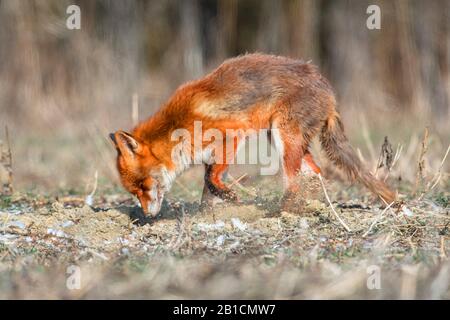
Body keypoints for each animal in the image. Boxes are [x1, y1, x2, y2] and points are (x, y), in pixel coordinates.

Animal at [110, 53, 396, 216]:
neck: (179, 125)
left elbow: (211, 179)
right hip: (281, 138)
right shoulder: (213, 154)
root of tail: (328, 90)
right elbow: (208, 188)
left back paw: (279, 213)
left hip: (283, 136)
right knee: (314, 173)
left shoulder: (230, 137)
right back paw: (312, 204)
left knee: (294, 183)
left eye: (142, 186)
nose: (147, 217)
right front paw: (206, 214)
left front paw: (230, 198)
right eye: (134, 191)